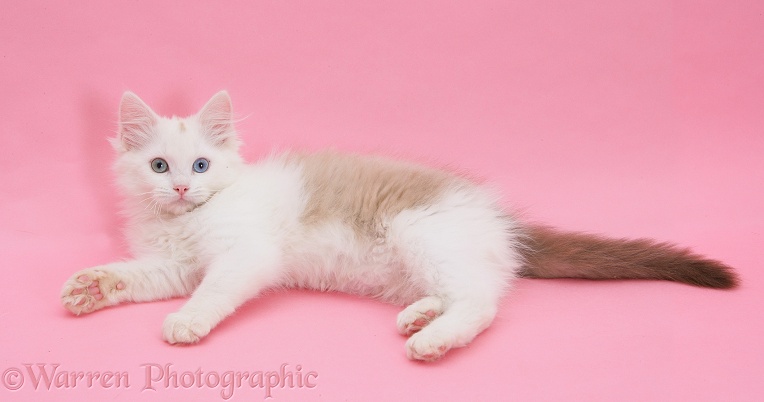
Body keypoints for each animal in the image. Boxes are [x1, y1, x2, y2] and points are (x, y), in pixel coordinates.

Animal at [62, 91, 736, 362]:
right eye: (159, 166)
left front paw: (187, 322)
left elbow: (214, 291)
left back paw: (433, 340)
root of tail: (497, 214)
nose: (180, 187)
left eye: (201, 165)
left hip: (422, 231)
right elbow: (137, 276)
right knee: (465, 288)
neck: (189, 219)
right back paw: (420, 315)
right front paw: (91, 287)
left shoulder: (245, 255)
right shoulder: (172, 264)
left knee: (484, 302)